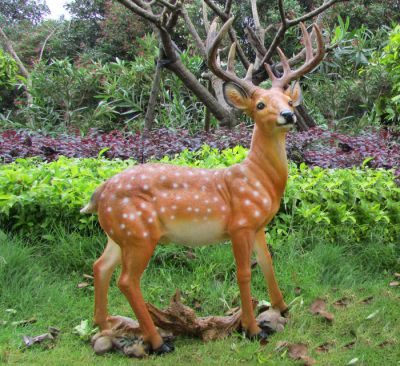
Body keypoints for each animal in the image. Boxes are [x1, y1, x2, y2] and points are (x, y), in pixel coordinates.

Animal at [81, 18, 324, 356]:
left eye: (289, 101)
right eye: (261, 104)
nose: (288, 115)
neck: (259, 180)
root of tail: (99, 192)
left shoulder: (258, 225)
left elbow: (267, 263)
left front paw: (283, 307)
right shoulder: (239, 224)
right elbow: (244, 272)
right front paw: (252, 329)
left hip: (120, 233)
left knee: (100, 266)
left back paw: (105, 325)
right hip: (140, 233)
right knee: (127, 280)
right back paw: (158, 342)